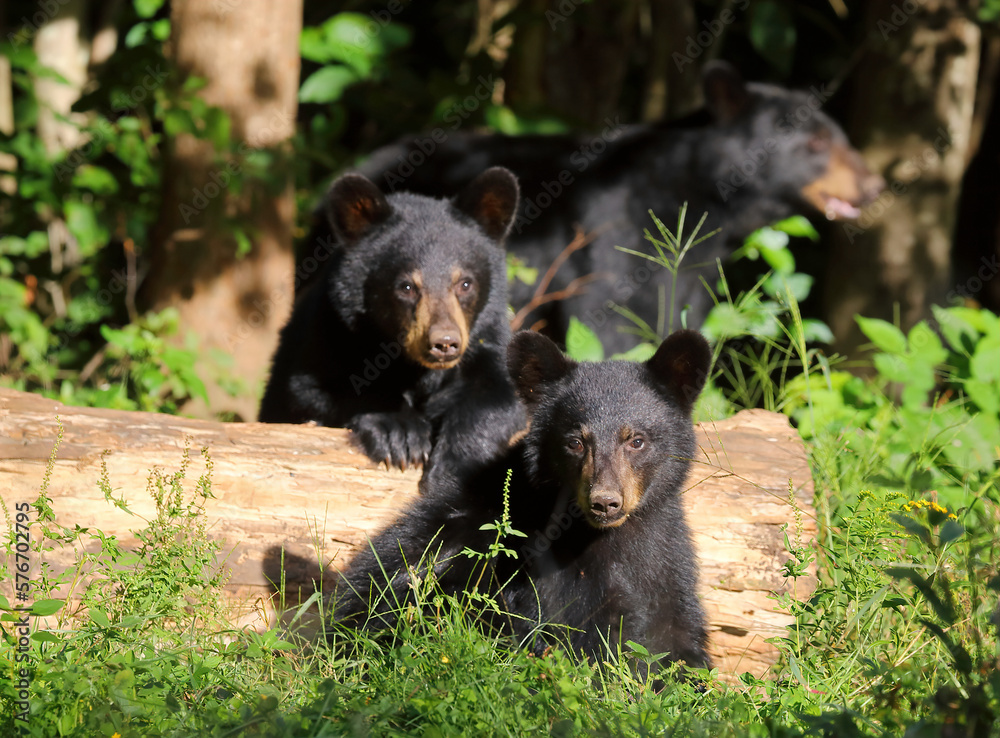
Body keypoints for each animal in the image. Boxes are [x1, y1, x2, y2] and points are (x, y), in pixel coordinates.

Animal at [258, 167, 524, 493]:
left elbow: (500, 394)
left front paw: (454, 467)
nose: (444, 343)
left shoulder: (488, 337)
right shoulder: (329, 331)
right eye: (406, 286)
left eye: (465, 283)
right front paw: (400, 433)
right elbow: (315, 390)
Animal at [311, 61, 882, 354]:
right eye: (815, 144)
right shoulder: (616, 241)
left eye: (839, 134)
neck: (705, 202)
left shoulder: (692, 268)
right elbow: (611, 327)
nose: (873, 184)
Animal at [331, 328, 712, 675]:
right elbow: (585, 634)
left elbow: (676, 630)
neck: (609, 535)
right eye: (575, 442)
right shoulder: (543, 568)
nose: (605, 503)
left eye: (636, 440)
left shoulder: (666, 554)